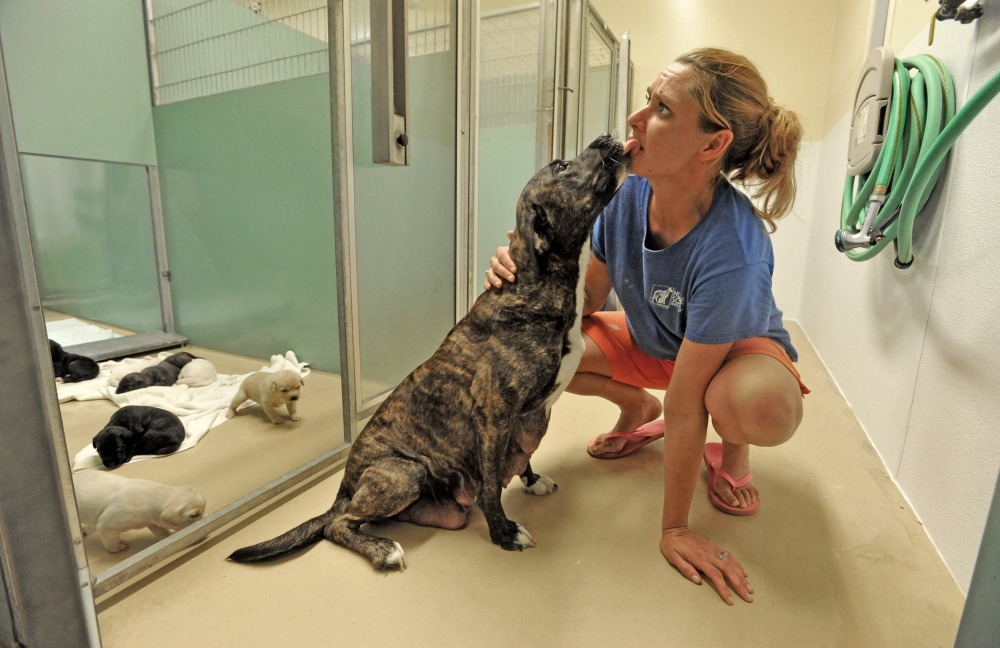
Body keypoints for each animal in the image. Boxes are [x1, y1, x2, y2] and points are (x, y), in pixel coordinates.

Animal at [73, 468, 207, 556]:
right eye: (194, 515)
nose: (206, 517)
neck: (155, 495)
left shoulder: (154, 522)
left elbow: (162, 532)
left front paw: (170, 538)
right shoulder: (107, 526)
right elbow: (111, 540)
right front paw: (116, 547)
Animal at [230, 134, 628, 568]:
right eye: (561, 166)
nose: (605, 137)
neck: (535, 286)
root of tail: (345, 488)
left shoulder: (521, 418)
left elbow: (522, 457)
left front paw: (532, 480)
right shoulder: (494, 418)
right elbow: (491, 484)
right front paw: (503, 532)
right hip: (405, 473)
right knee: (337, 526)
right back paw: (383, 550)